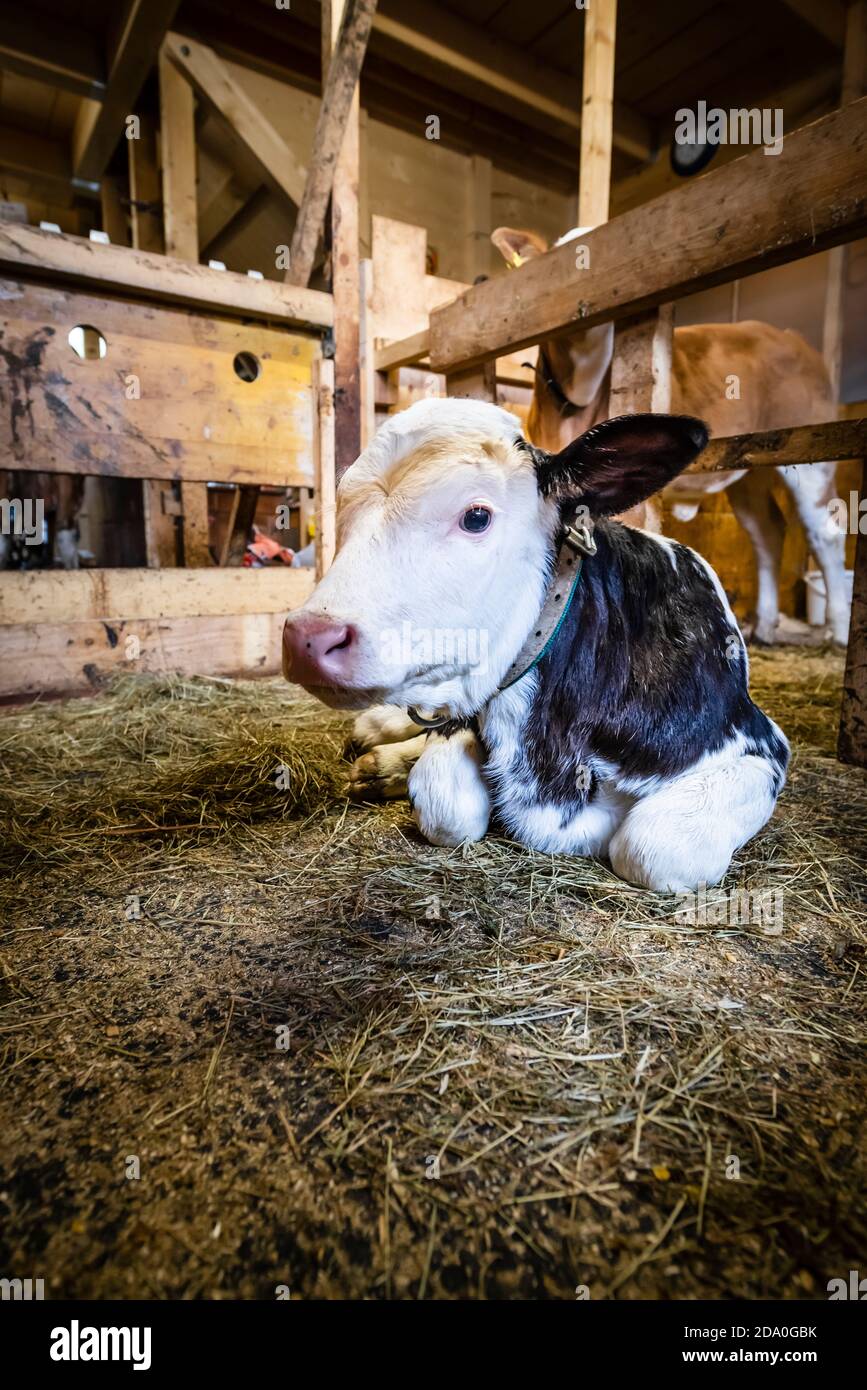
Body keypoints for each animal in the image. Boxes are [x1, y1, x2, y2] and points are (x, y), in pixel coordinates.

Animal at [491, 225, 850, 647]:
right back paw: (764, 626)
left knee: (825, 531)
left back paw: (839, 629)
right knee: (768, 532)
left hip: (813, 455)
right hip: (752, 466)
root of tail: (791, 337)